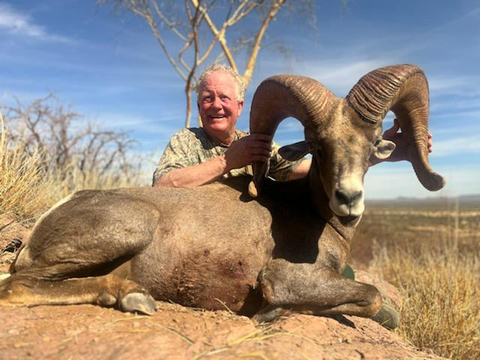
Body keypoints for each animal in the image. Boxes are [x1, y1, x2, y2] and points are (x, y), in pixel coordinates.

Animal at [0, 64, 444, 326]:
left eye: (372, 146)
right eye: (317, 146)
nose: (348, 199)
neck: (317, 218)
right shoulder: (287, 277)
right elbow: (371, 297)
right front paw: (271, 312)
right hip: (131, 227)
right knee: (16, 287)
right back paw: (133, 297)